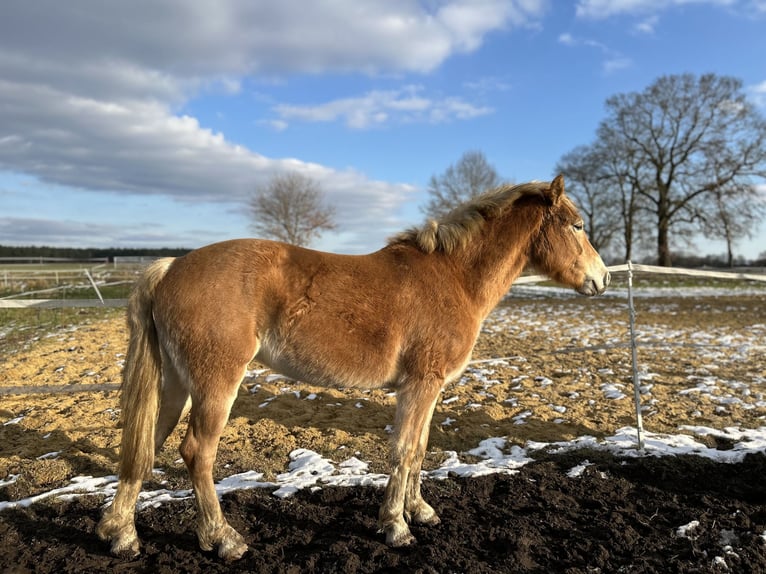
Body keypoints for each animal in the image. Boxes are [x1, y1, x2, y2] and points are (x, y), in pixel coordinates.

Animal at [96, 176, 612, 564]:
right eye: (577, 225)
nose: (603, 278)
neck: (453, 278)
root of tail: (171, 267)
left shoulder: (428, 390)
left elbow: (421, 449)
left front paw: (420, 511)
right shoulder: (420, 386)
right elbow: (406, 450)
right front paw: (397, 527)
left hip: (176, 385)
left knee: (144, 447)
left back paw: (121, 534)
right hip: (215, 384)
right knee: (196, 453)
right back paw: (223, 540)